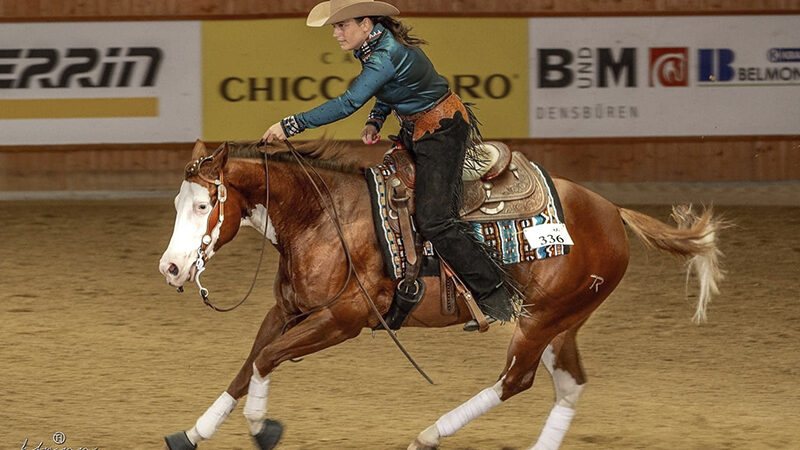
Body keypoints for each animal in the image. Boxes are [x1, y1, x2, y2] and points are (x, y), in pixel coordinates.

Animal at [158, 139, 724, 448]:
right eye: (177, 204)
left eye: (205, 205)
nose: (171, 268)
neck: (325, 217)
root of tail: (612, 212)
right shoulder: (287, 310)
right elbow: (249, 363)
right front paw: (193, 433)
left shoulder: (342, 320)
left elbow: (266, 359)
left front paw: (262, 429)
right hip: (562, 322)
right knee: (569, 385)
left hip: (540, 321)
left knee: (514, 382)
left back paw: (428, 435)